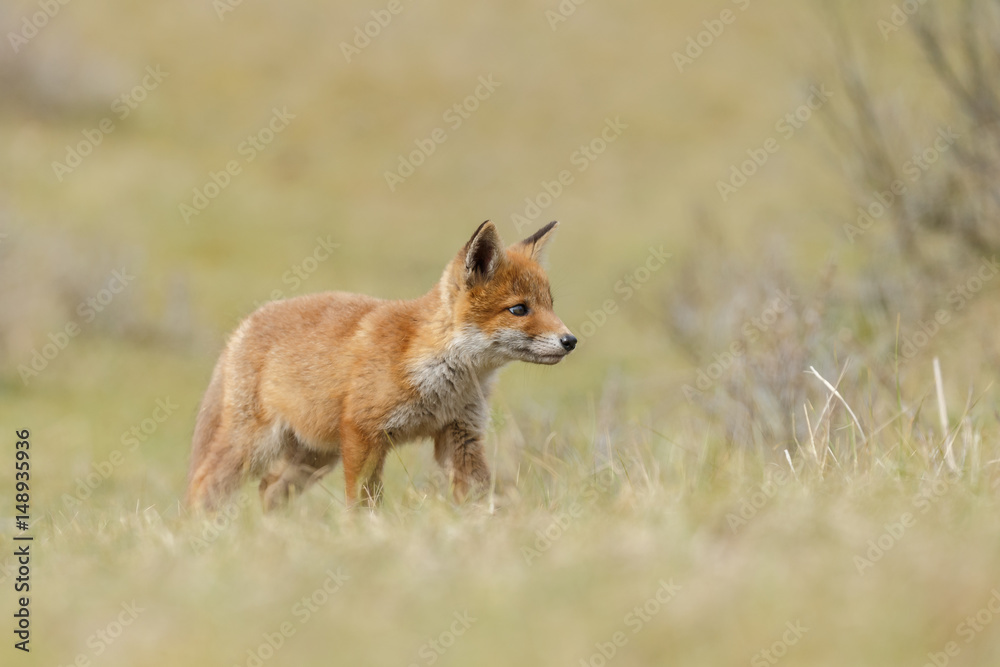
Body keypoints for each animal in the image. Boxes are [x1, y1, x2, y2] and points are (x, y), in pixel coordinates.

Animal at [188, 222, 580, 508]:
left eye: (550, 305)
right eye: (519, 309)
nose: (571, 340)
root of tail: (246, 323)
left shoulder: (460, 435)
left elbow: (478, 494)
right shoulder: (364, 433)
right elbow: (363, 503)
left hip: (315, 456)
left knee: (268, 488)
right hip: (254, 446)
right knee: (203, 485)